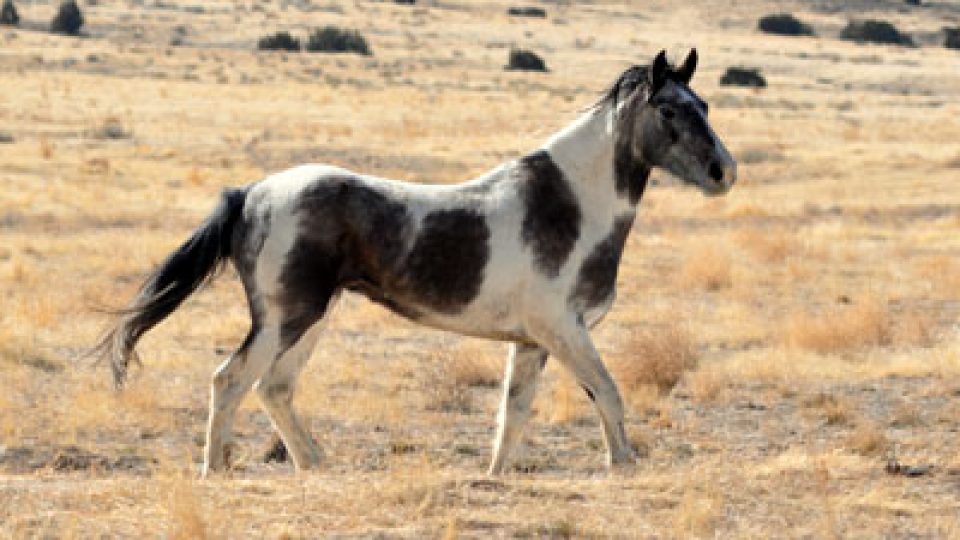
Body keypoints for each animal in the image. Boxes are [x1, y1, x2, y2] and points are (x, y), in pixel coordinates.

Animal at [97, 49, 736, 476]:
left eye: (704, 104)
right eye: (670, 110)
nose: (723, 172)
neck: (570, 205)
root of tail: (251, 193)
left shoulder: (532, 340)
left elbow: (513, 414)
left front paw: (494, 478)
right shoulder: (564, 329)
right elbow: (606, 391)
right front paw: (623, 467)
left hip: (310, 317)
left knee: (274, 387)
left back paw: (317, 466)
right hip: (285, 318)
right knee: (230, 380)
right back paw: (217, 471)